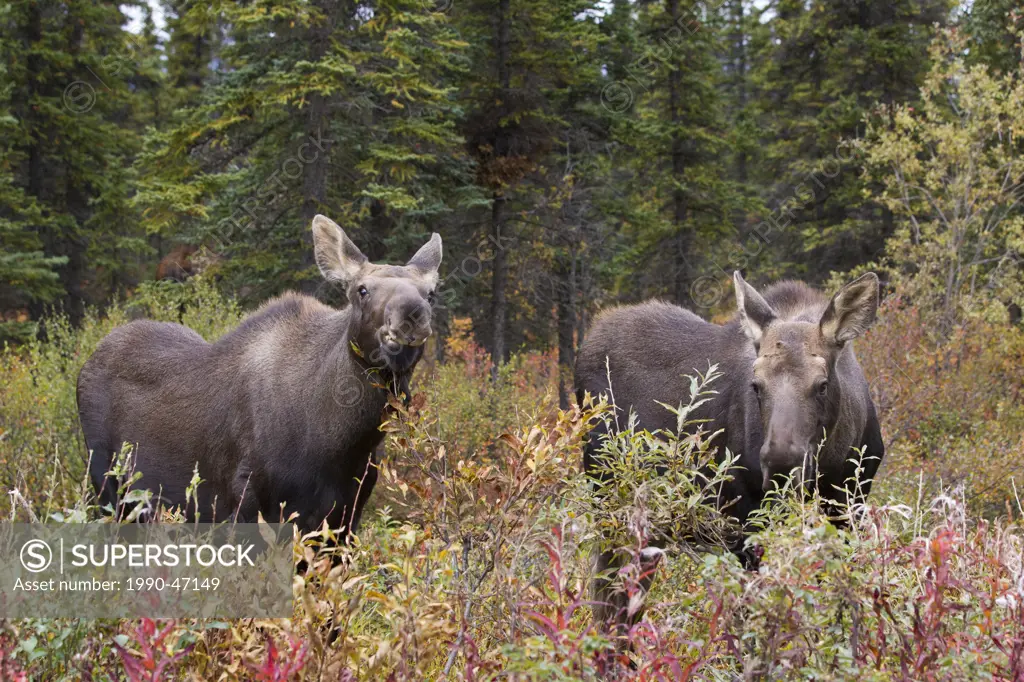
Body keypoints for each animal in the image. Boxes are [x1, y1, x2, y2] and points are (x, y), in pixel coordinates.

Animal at [74, 215, 438, 532]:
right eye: (362, 289)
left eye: (431, 293)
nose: (412, 314)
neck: (340, 444)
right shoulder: (245, 502)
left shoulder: (347, 515)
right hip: (106, 486)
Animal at [577, 270, 888, 630]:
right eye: (756, 385)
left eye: (822, 385)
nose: (780, 463)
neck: (832, 461)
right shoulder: (742, 519)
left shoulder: (849, 506)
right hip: (610, 501)